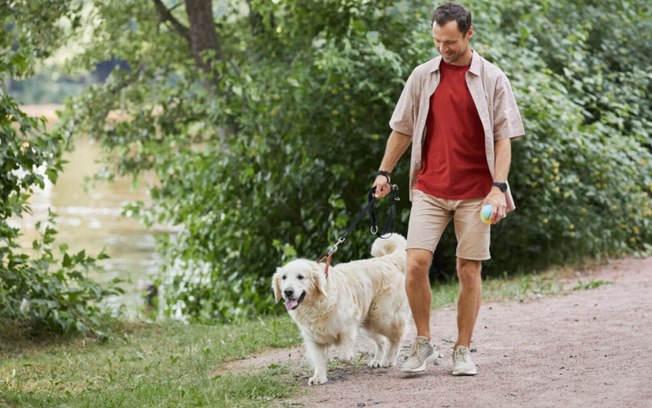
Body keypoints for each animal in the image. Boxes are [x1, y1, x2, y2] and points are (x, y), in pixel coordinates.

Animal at [272, 234, 410, 384]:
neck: (316, 305)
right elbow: (318, 360)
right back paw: (377, 360)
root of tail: (386, 260)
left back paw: (388, 359)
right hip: (368, 322)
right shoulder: (313, 338)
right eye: (284, 277)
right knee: (382, 340)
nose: (287, 291)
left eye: (300, 277)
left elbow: (343, 356)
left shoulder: (348, 327)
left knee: (396, 336)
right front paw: (319, 377)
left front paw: (349, 358)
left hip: (381, 315)